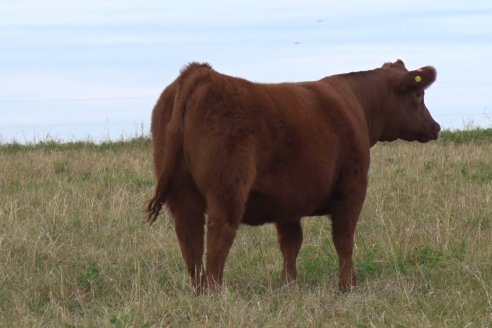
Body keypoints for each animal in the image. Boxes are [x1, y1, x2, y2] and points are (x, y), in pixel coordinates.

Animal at [147, 59, 442, 292]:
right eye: (418, 95)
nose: (436, 127)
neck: (356, 103)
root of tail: (202, 74)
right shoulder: (352, 189)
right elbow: (344, 240)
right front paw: (348, 285)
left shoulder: (287, 202)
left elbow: (291, 243)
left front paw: (289, 285)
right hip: (226, 189)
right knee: (219, 235)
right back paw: (215, 292)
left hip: (182, 194)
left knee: (190, 239)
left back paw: (199, 291)